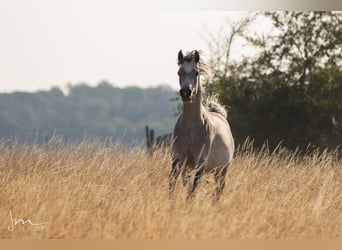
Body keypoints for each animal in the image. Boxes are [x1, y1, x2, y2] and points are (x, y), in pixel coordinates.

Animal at [169, 49, 235, 201]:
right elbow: (179, 183)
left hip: (222, 170)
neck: (190, 129)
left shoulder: (200, 162)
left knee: (219, 189)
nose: (186, 93)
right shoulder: (179, 159)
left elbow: (193, 189)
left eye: (196, 72)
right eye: (179, 72)